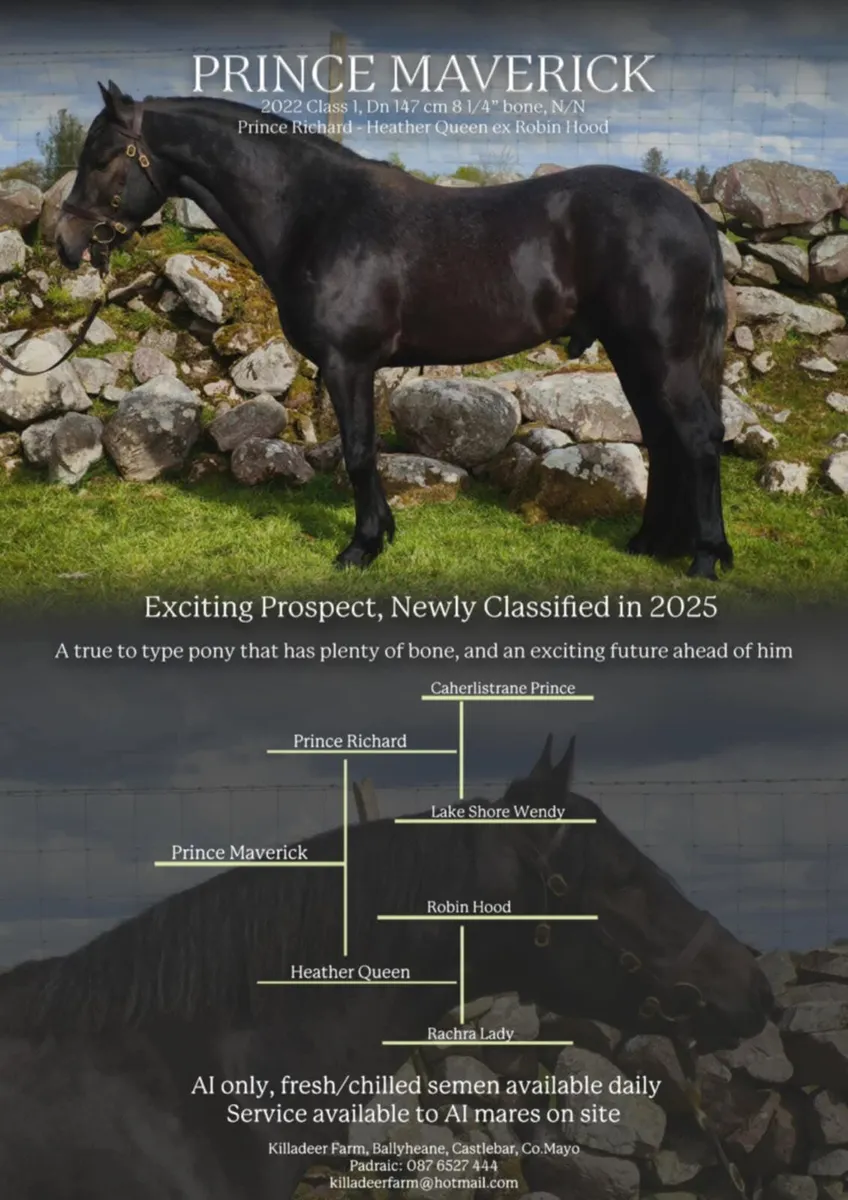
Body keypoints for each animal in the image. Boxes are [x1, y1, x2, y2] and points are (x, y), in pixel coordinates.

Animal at [54, 82, 732, 580]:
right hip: (635, 354)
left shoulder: (347, 363)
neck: (314, 214)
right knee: (665, 442)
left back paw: (704, 558)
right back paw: (651, 543)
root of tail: (692, 214)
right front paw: (382, 535)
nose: (65, 242)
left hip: (661, 355)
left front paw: (360, 548)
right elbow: (365, 452)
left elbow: (358, 452)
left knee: (697, 440)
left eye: (103, 158)